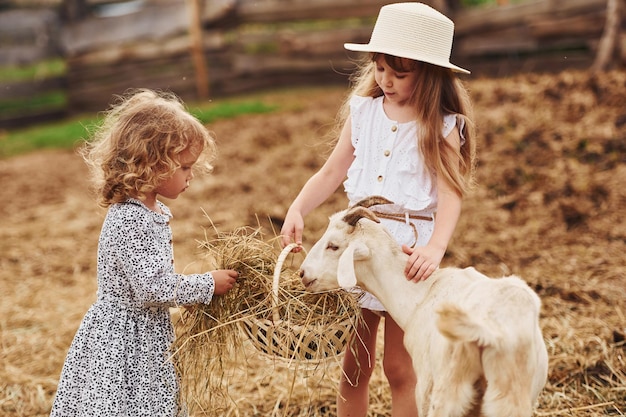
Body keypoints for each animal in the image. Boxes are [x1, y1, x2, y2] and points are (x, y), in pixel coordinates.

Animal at [298, 196, 544, 416]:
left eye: (333, 246)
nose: (302, 273)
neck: (423, 292)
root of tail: (490, 332)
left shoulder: (424, 383)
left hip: (446, 394)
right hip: (511, 396)